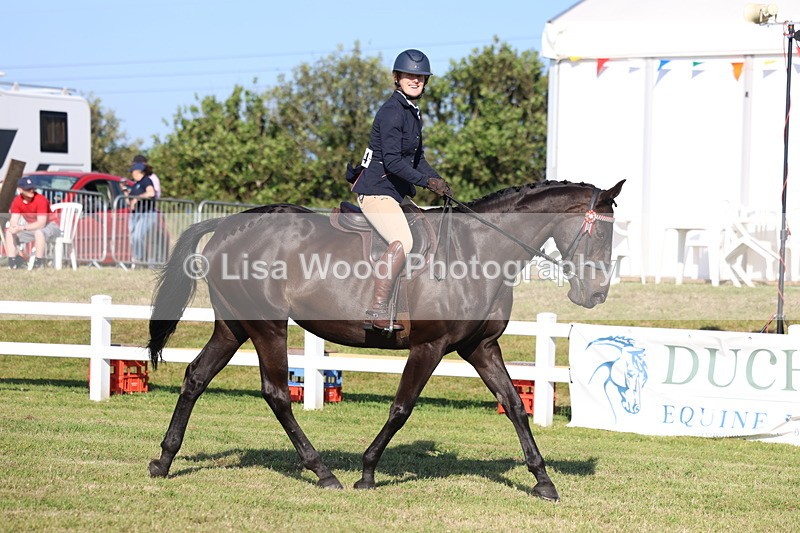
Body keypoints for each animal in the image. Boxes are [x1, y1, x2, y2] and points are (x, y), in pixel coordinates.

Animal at [146, 179, 625, 501]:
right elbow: (401, 408)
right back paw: (323, 472)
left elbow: (514, 405)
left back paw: (164, 460)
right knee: (277, 393)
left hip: (235, 326)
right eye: (603, 232)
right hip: (267, 326)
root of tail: (231, 224)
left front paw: (543, 480)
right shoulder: (430, 348)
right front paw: (367, 471)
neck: (477, 251)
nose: (597, 295)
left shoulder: (480, 348)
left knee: (196, 377)